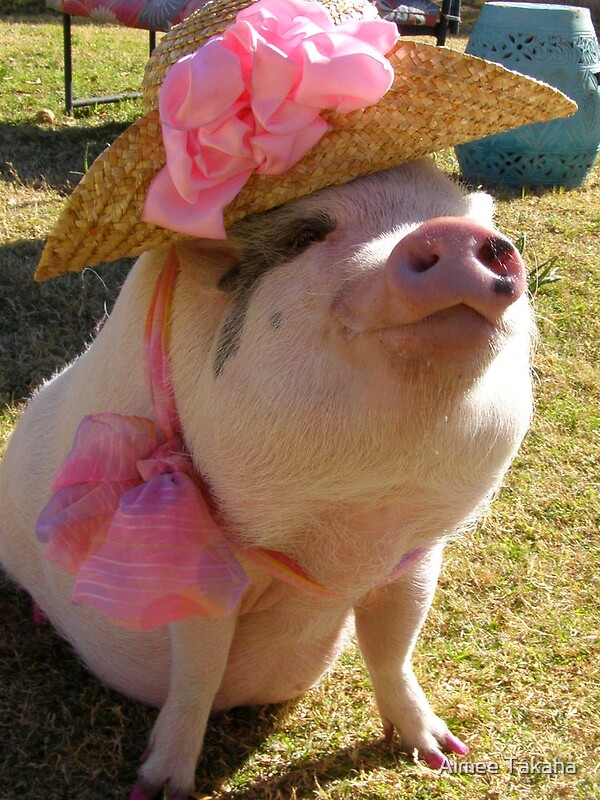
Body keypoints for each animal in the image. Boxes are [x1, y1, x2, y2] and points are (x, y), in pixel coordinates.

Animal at [0, 159, 534, 799]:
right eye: (306, 235)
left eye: (449, 212)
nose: (452, 232)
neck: (352, 532)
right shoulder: (194, 561)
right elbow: (198, 672)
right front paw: (160, 789)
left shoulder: (417, 557)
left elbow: (393, 646)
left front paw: (440, 754)